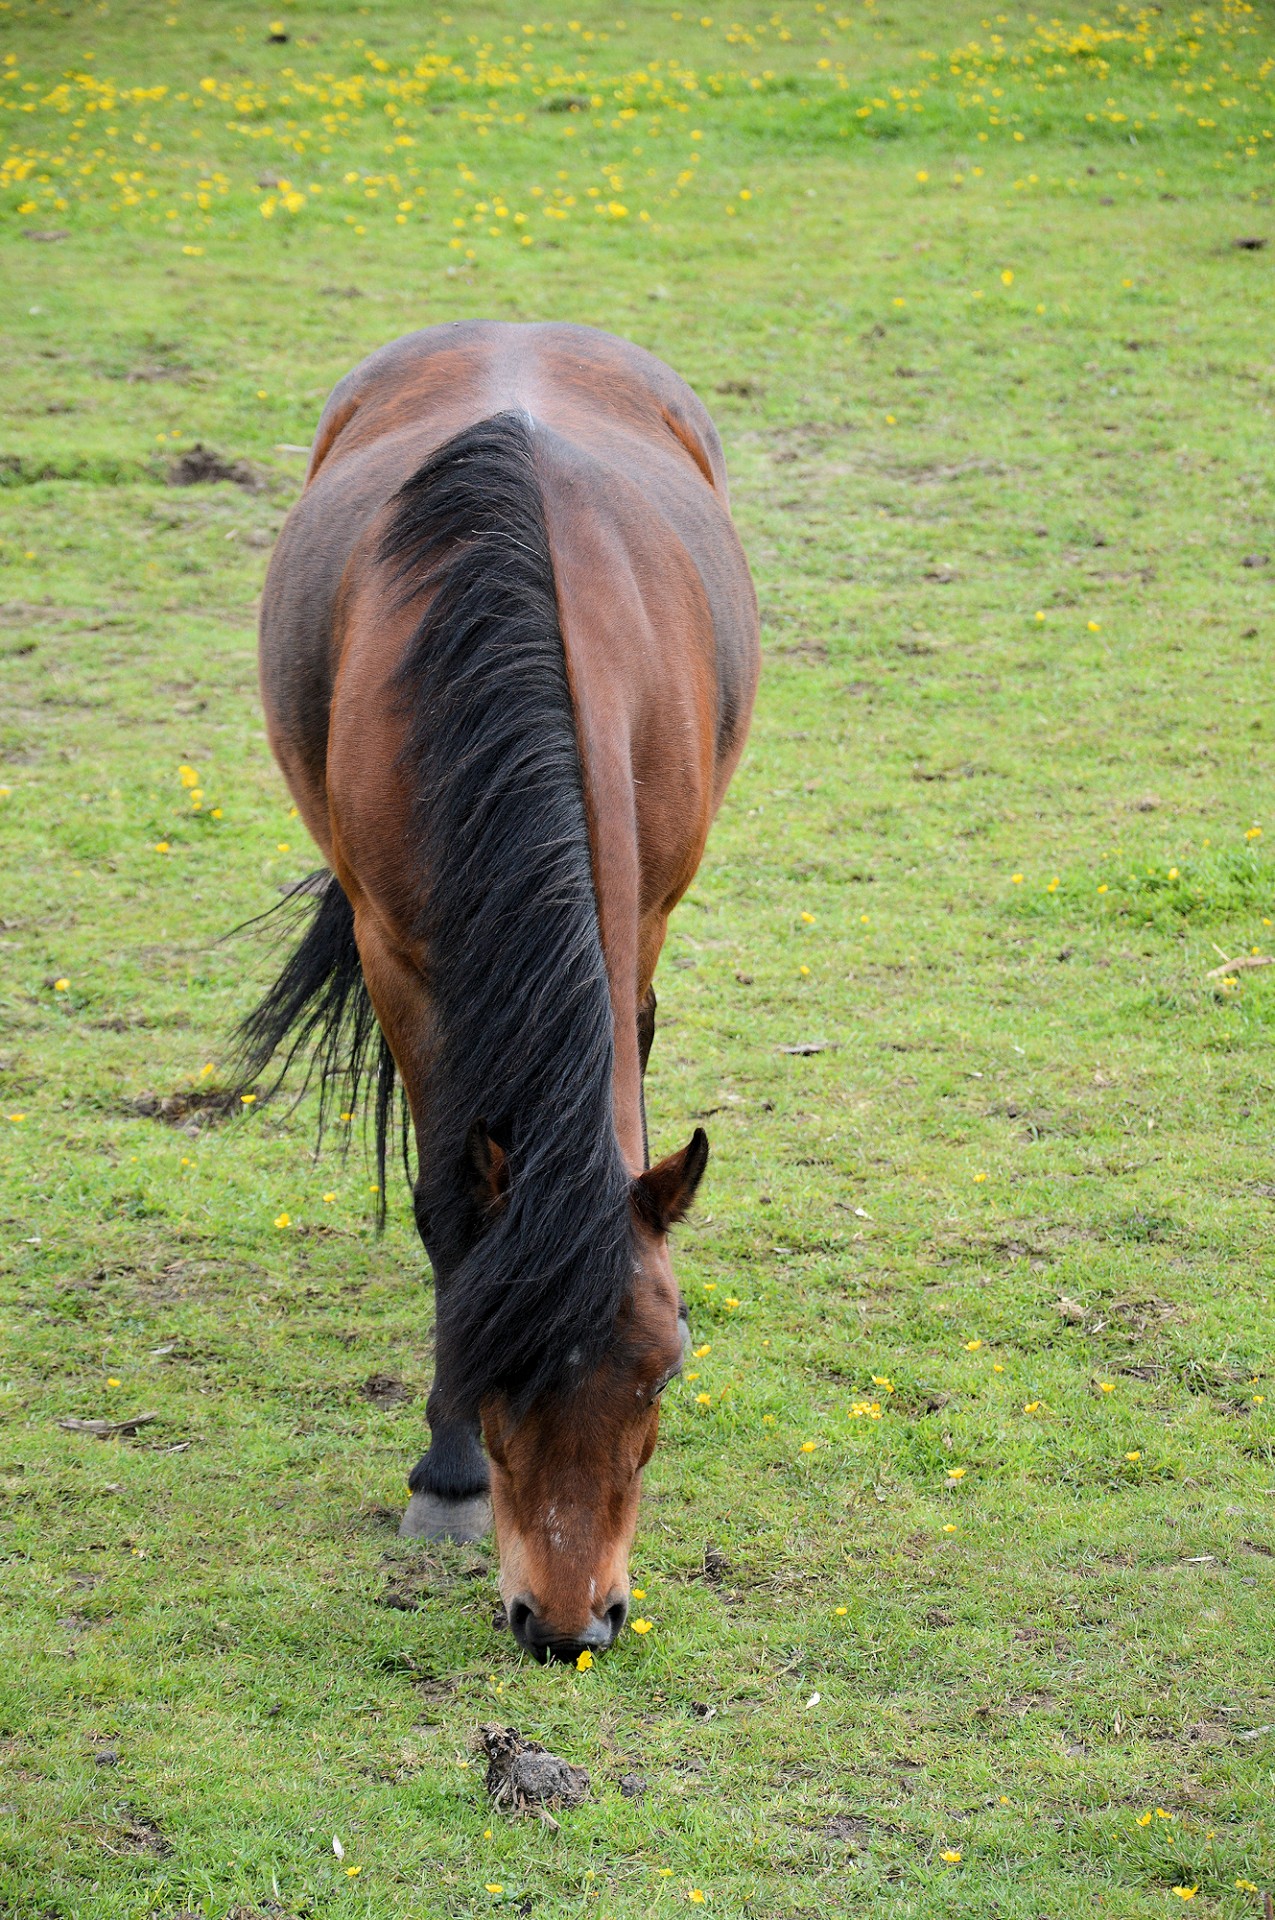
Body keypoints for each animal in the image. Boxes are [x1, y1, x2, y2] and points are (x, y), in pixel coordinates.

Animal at [238, 322, 756, 1658]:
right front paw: (447, 1480)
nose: (571, 1626)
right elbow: (445, 1211)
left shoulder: (643, 919)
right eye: (491, 1363)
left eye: (665, 1370)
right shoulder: (395, 954)